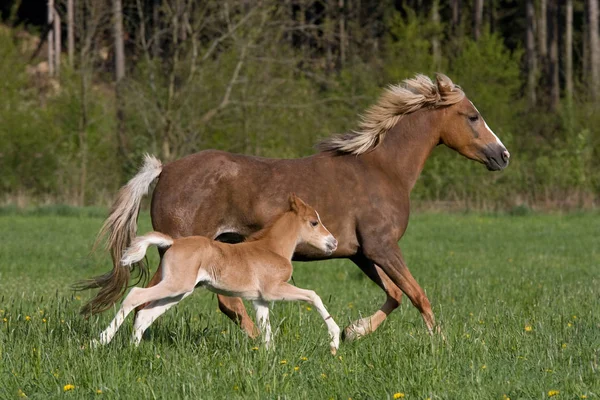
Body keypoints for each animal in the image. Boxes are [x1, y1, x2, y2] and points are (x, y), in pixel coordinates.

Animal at [81, 74, 510, 340]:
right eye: (473, 116)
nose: (502, 155)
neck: (382, 169)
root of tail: (165, 169)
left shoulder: (361, 253)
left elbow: (396, 295)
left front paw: (351, 332)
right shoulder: (383, 247)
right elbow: (419, 295)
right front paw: (440, 343)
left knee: (198, 301)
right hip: (184, 253)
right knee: (165, 299)